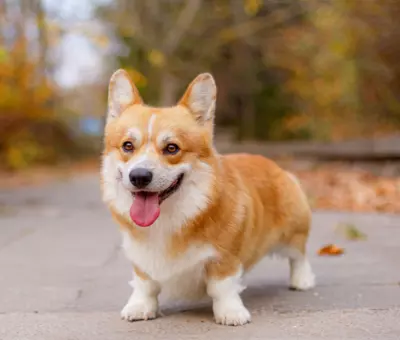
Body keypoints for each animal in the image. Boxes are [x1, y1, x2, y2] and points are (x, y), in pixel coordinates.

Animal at [101, 69, 316, 326]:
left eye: (172, 148)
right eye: (127, 146)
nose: (139, 176)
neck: (167, 220)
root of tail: (274, 165)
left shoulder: (224, 257)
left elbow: (221, 287)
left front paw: (231, 312)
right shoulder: (140, 257)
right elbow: (145, 284)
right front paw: (140, 306)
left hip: (293, 230)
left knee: (299, 255)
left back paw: (302, 280)